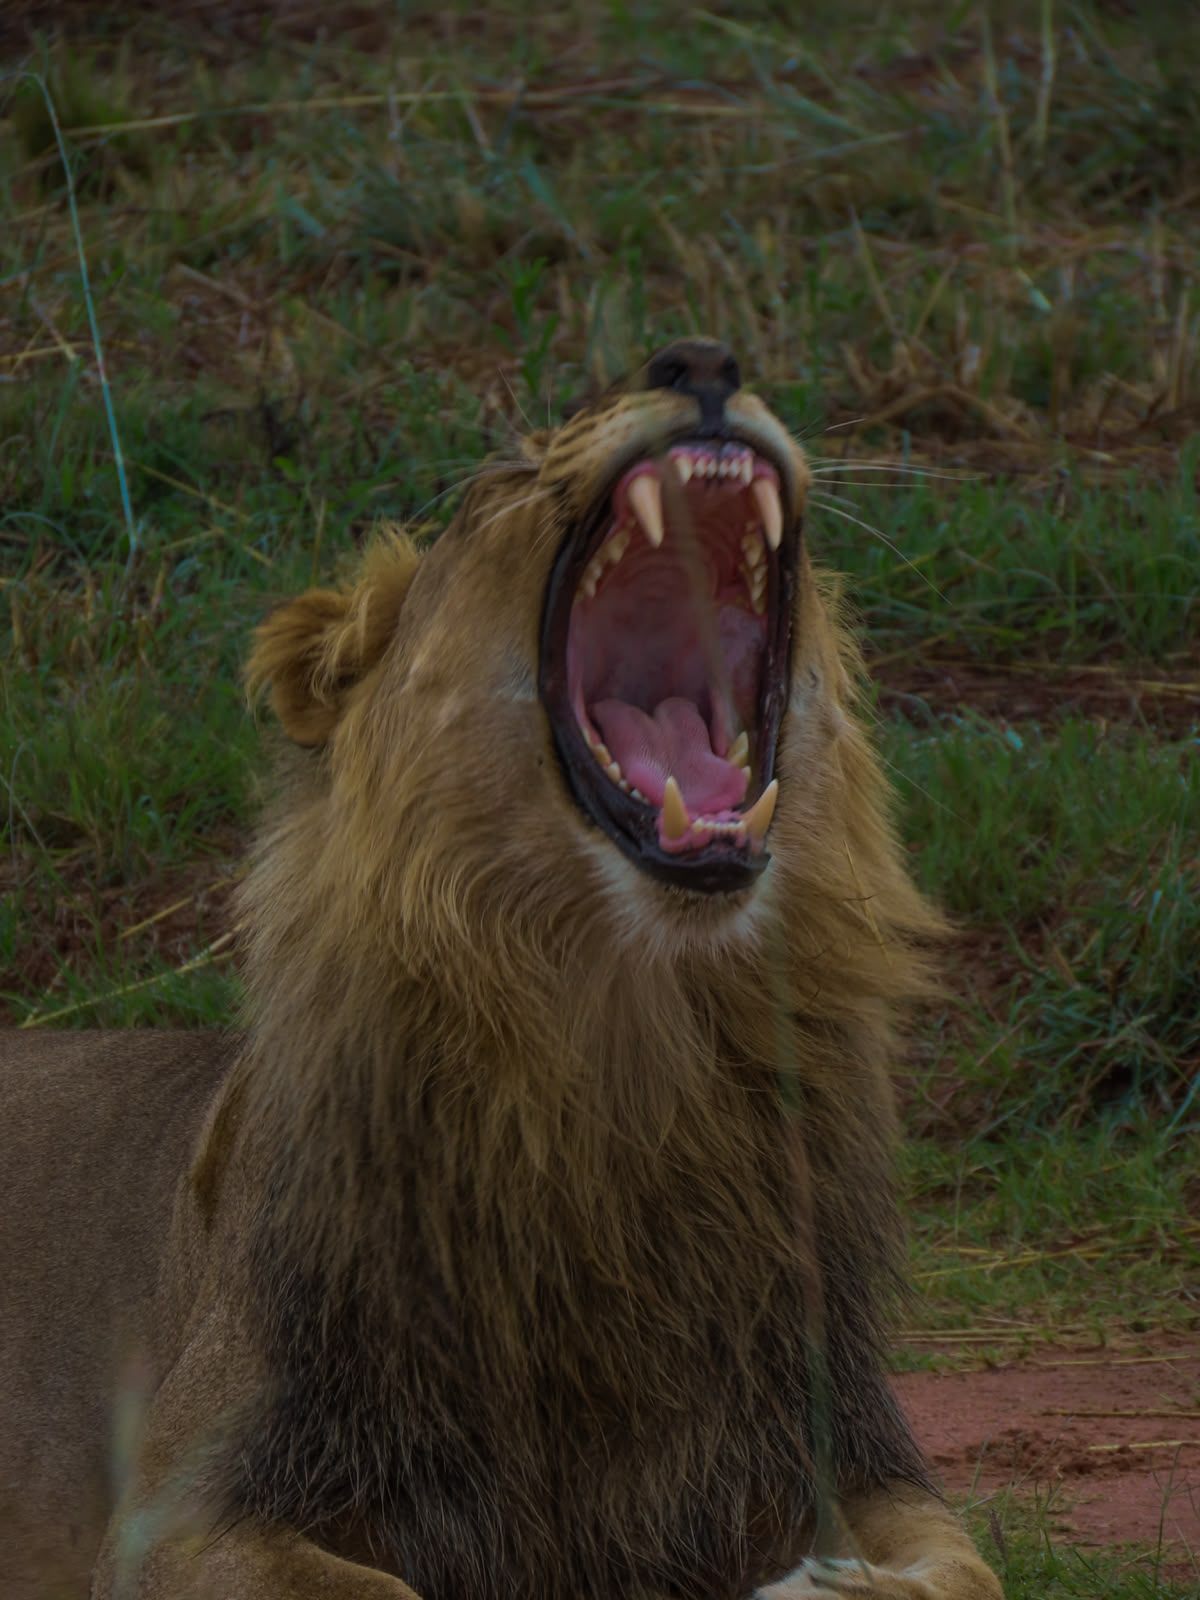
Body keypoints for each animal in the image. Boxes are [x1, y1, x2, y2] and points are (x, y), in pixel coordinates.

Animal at [1, 338, 1002, 1600]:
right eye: (501, 480)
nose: (703, 360)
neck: (624, 1043)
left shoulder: (838, 1443)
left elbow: (966, 1567)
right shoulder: (179, 1508)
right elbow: (380, 1588)